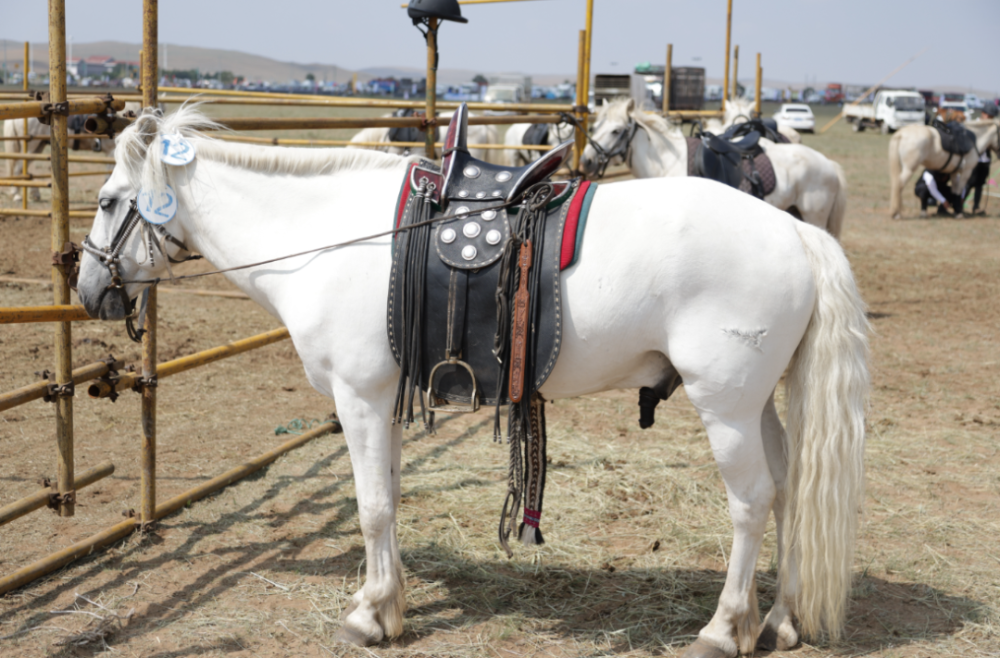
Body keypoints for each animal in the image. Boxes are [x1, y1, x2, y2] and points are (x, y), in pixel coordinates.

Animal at [581, 98, 848, 239]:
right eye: (594, 127)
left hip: (815, 216)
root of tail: (830, 164)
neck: (668, 161)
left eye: (616, 130)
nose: (586, 161)